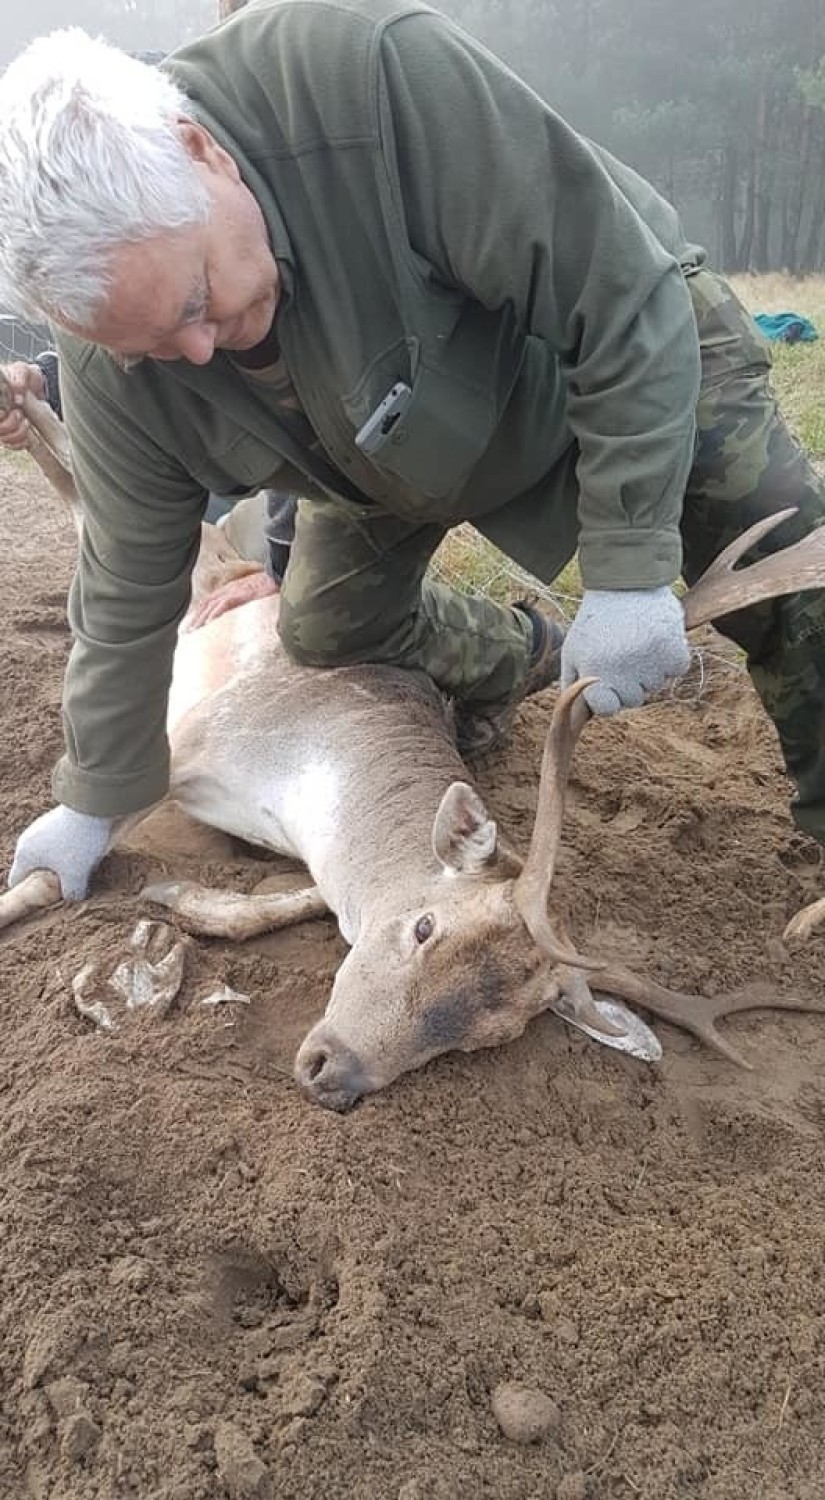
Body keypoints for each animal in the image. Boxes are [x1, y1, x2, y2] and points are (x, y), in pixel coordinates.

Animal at [4, 367, 825, 1110]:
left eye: (483, 1036)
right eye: (425, 927)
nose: (333, 1073)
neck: (299, 787)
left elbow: (267, 905)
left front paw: (173, 898)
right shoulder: (196, 737)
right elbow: (49, 866)